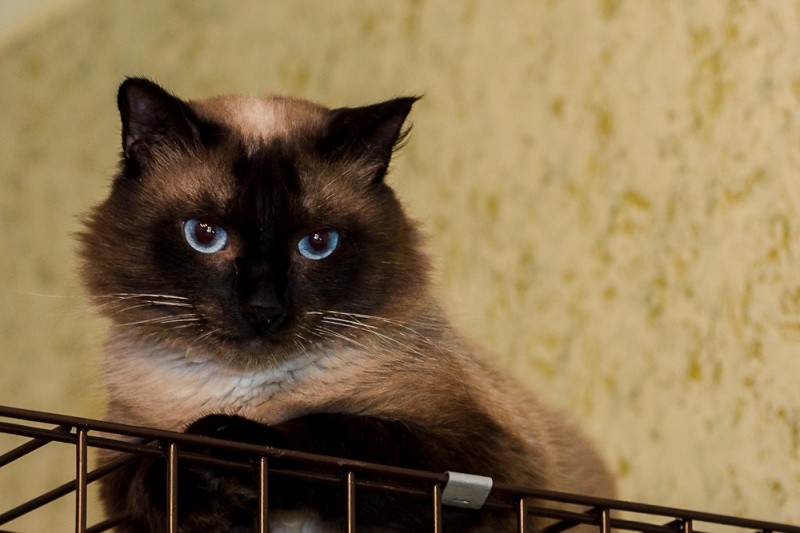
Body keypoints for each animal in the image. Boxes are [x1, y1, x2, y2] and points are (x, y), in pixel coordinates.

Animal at [78, 77, 615, 532]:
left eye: (318, 243)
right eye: (205, 235)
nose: (263, 308)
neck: (244, 388)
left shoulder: (477, 459)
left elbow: (338, 436)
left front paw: (230, 445)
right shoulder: (121, 469)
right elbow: (147, 474)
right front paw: (202, 481)